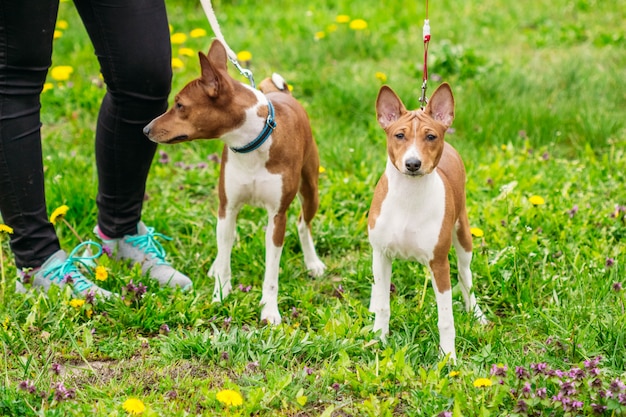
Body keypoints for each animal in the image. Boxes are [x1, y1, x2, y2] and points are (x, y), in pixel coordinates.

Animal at [143, 40, 324, 324]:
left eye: (180, 105)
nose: (145, 129)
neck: (251, 144)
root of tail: (283, 93)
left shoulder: (277, 217)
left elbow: (271, 274)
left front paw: (269, 310)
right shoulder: (226, 208)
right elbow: (225, 260)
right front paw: (219, 296)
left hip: (310, 191)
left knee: (303, 224)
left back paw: (312, 262)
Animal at [366, 83, 488, 360]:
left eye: (430, 137)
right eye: (399, 135)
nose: (413, 163)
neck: (409, 197)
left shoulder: (439, 263)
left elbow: (446, 319)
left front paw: (448, 357)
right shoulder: (381, 254)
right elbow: (384, 304)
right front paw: (380, 339)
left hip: (463, 236)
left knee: (466, 277)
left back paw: (476, 313)